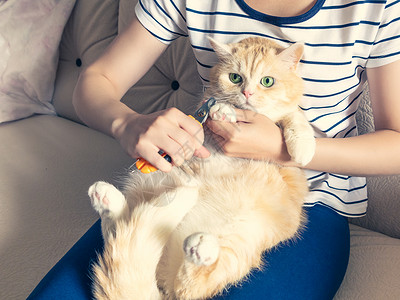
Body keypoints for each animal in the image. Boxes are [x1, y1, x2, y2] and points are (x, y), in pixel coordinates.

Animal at [89, 37, 314, 300]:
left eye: (267, 81)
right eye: (235, 78)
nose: (247, 93)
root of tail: (162, 285)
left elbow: (294, 118)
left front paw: (302, 147)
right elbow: (220, 108)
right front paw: (224, 111)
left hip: (242, 239)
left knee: (190, 283)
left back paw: (199, 247)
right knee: (118, 231)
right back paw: (106, 199)